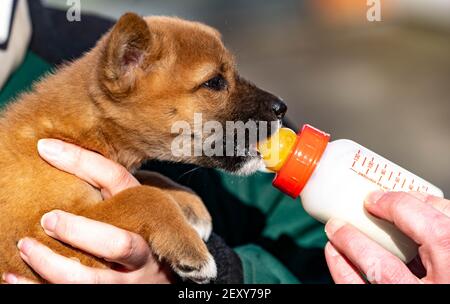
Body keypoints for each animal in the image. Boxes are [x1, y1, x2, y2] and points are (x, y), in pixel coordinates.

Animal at [0, 11, 286, 282]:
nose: (281, 108)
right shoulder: (41, 232)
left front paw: (190, 203)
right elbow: (143, 197)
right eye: (214, 82)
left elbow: (148, 179)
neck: (71, 134)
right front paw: (190, 248)